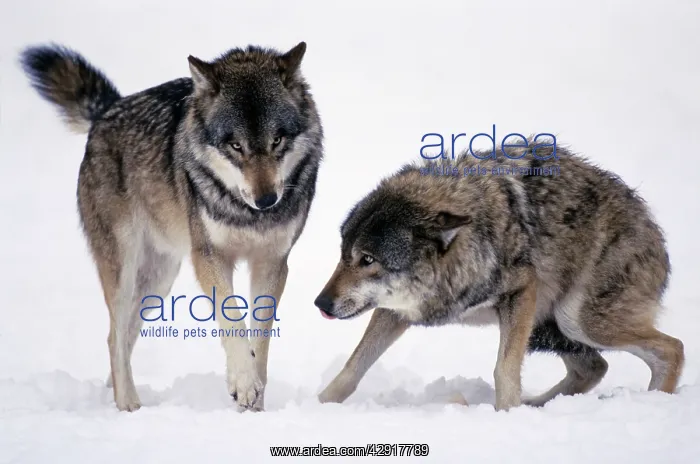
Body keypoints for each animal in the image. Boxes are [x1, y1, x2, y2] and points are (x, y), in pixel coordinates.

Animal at [21, 41, 323, 411]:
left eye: (277, 140)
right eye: (235, 146)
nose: (267, 200)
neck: (246, 213)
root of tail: (108, 110)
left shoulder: (272, 263)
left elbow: (260, 342)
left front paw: (254, 405)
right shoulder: (208, 257)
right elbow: (233, 320)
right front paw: (243, 383)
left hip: (158, 280)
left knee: (124, 337)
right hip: (124, 270)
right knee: (113, 337)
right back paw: (128, 406)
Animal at [314, 144, 684, 411]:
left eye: (367, 259)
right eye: (343, 254)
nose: (321, 303)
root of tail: (654, 229)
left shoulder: (521, 292)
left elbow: (503, 370)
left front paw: (506, 414)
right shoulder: (397, 310)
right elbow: (352, 368)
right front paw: (318, 407)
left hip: (578, 322)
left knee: (673, 349)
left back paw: (654, 403)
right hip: (552, 330)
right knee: (594, 368)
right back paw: (536, 405)